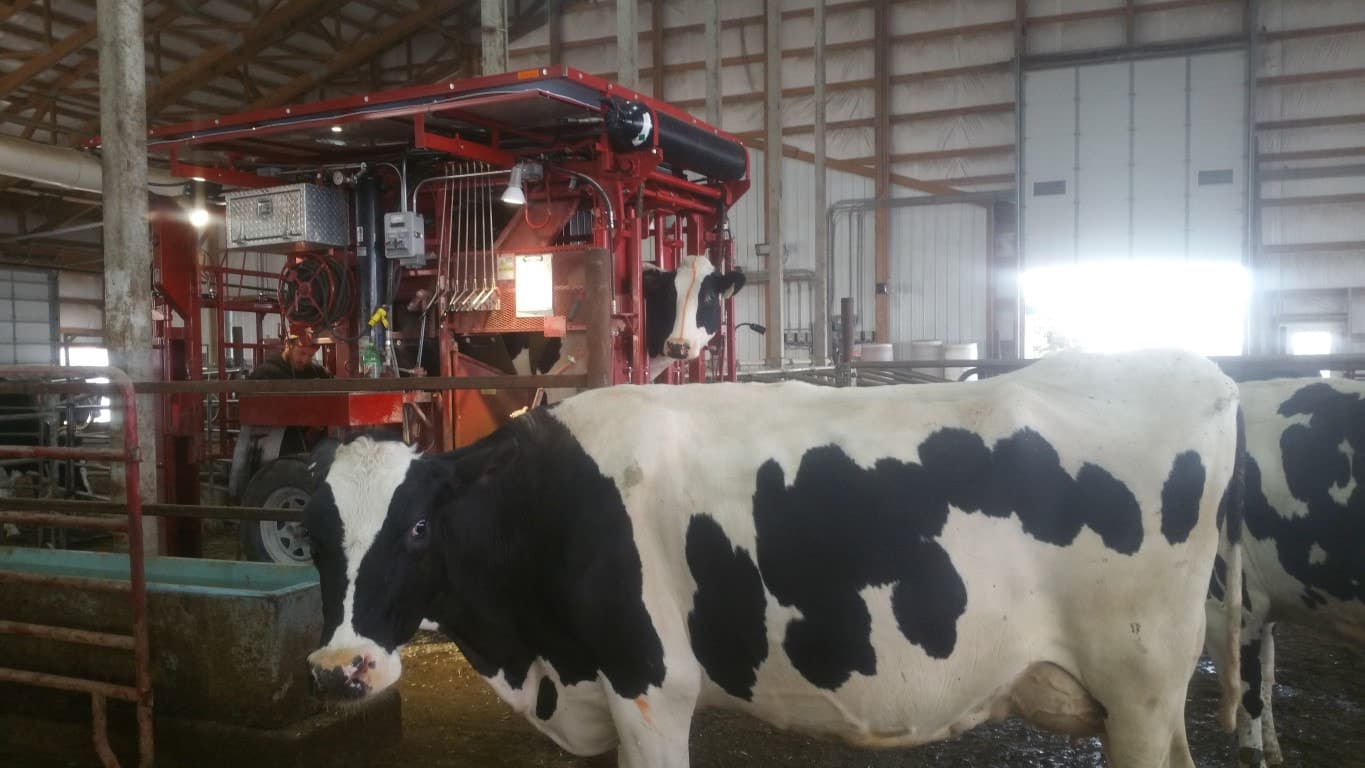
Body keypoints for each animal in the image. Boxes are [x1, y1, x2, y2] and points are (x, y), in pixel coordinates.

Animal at [304, 349, 1244, 768]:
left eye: (415, 530)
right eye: (313, 533)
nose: (340, 667)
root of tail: (1195, 371)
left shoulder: (648, 686)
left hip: (1140, 684)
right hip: (1142, 702)